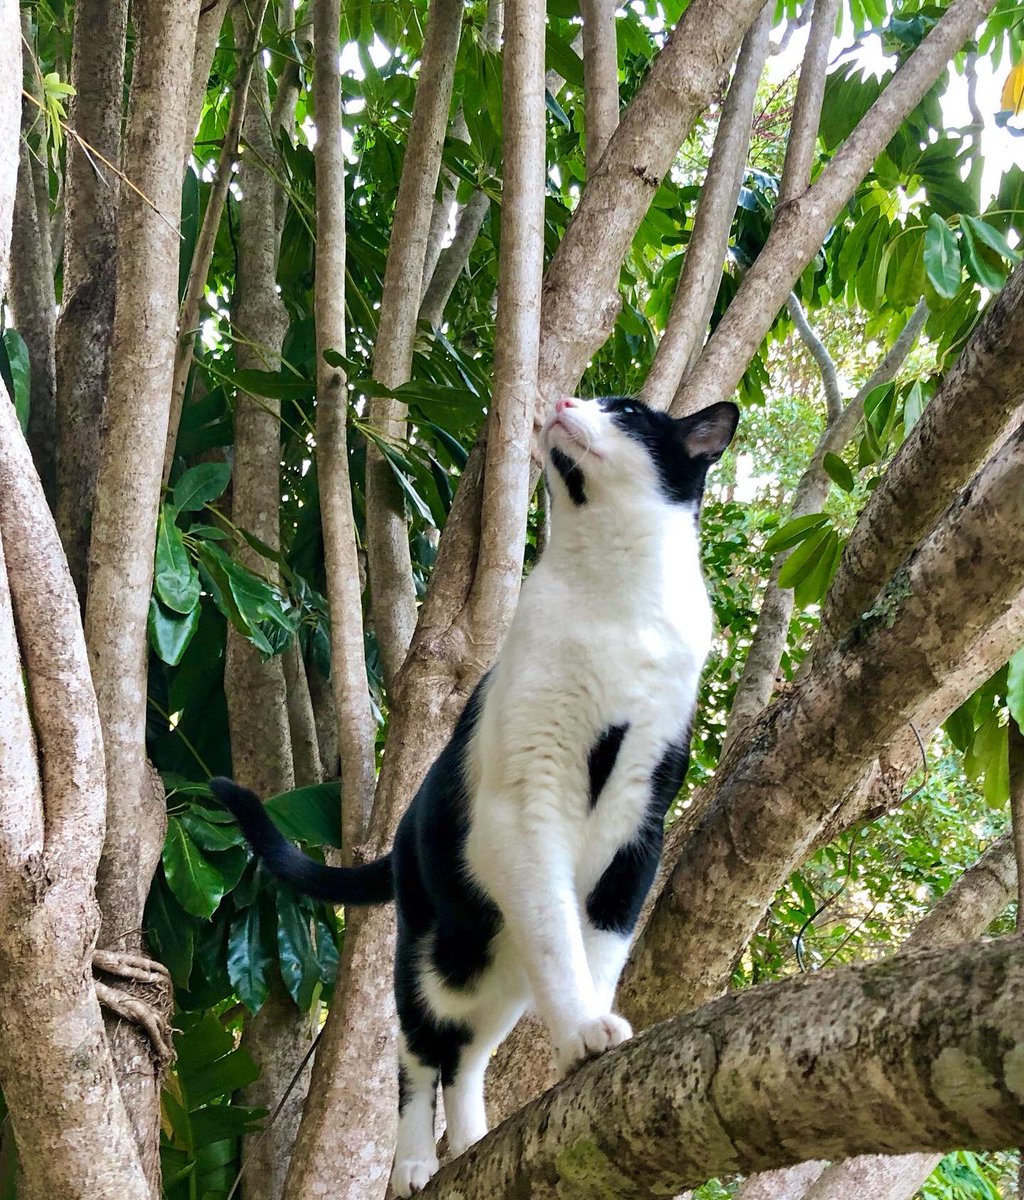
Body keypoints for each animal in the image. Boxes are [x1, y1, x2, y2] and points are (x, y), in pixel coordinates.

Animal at [210, 391, 734, 1190]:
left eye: (627, 411)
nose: (563, 399)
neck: (617, 599)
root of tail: (396, 837)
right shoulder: (523, 810)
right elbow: (560, 944)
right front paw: (581, 1029)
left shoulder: (638, 826)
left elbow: (598, 952)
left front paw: (585, 1039)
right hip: (433, 955)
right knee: (418, 1053)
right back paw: (416, 1162)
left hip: (495, 970)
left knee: (470, 1057)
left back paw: (474, 1140)